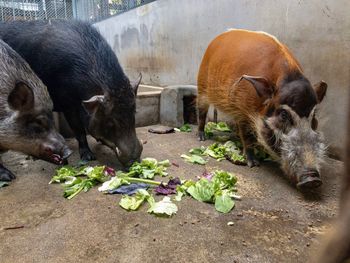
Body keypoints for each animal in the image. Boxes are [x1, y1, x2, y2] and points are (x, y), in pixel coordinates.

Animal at [0, 20, 143, 167]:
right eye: (110, 120)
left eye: (134, 113)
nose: (134, 160)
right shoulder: (68, 104)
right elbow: (78, 128)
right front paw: (88, 157)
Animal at [197, 29, 328, 190]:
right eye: (283, 115)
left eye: (313, 116)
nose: (313, 179)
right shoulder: (242, 110)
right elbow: (247, 136)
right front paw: (253, 164)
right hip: (202, 85)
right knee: (201, 112)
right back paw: (201, 137)